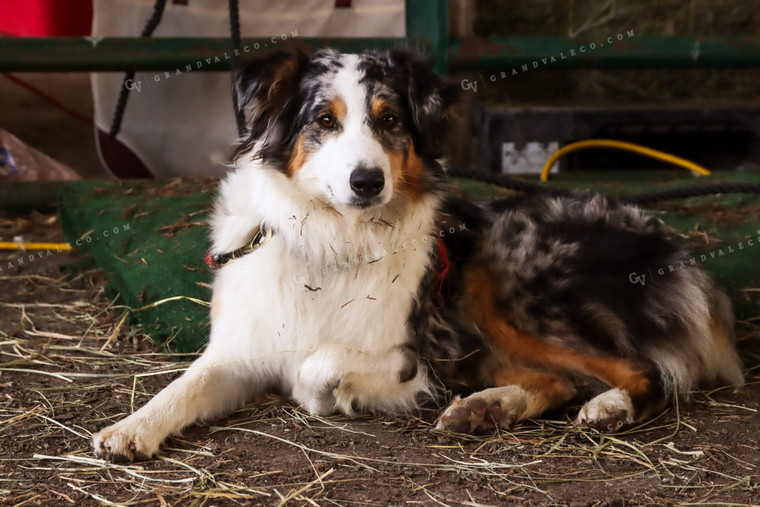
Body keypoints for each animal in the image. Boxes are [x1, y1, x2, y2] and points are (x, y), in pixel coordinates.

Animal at [90, 48, 744, 464]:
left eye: (390, 122)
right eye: (323, 120)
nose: (367, 181)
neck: (331, 238)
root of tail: (668, 248)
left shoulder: (418, 349)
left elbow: (318, 367)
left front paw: (344, 395)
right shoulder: (238, 351)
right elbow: (182, 387)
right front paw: (129, 428)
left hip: (501, 280)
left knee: (643, 373)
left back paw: (606, 407)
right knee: (555, 380)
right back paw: (483, 408)